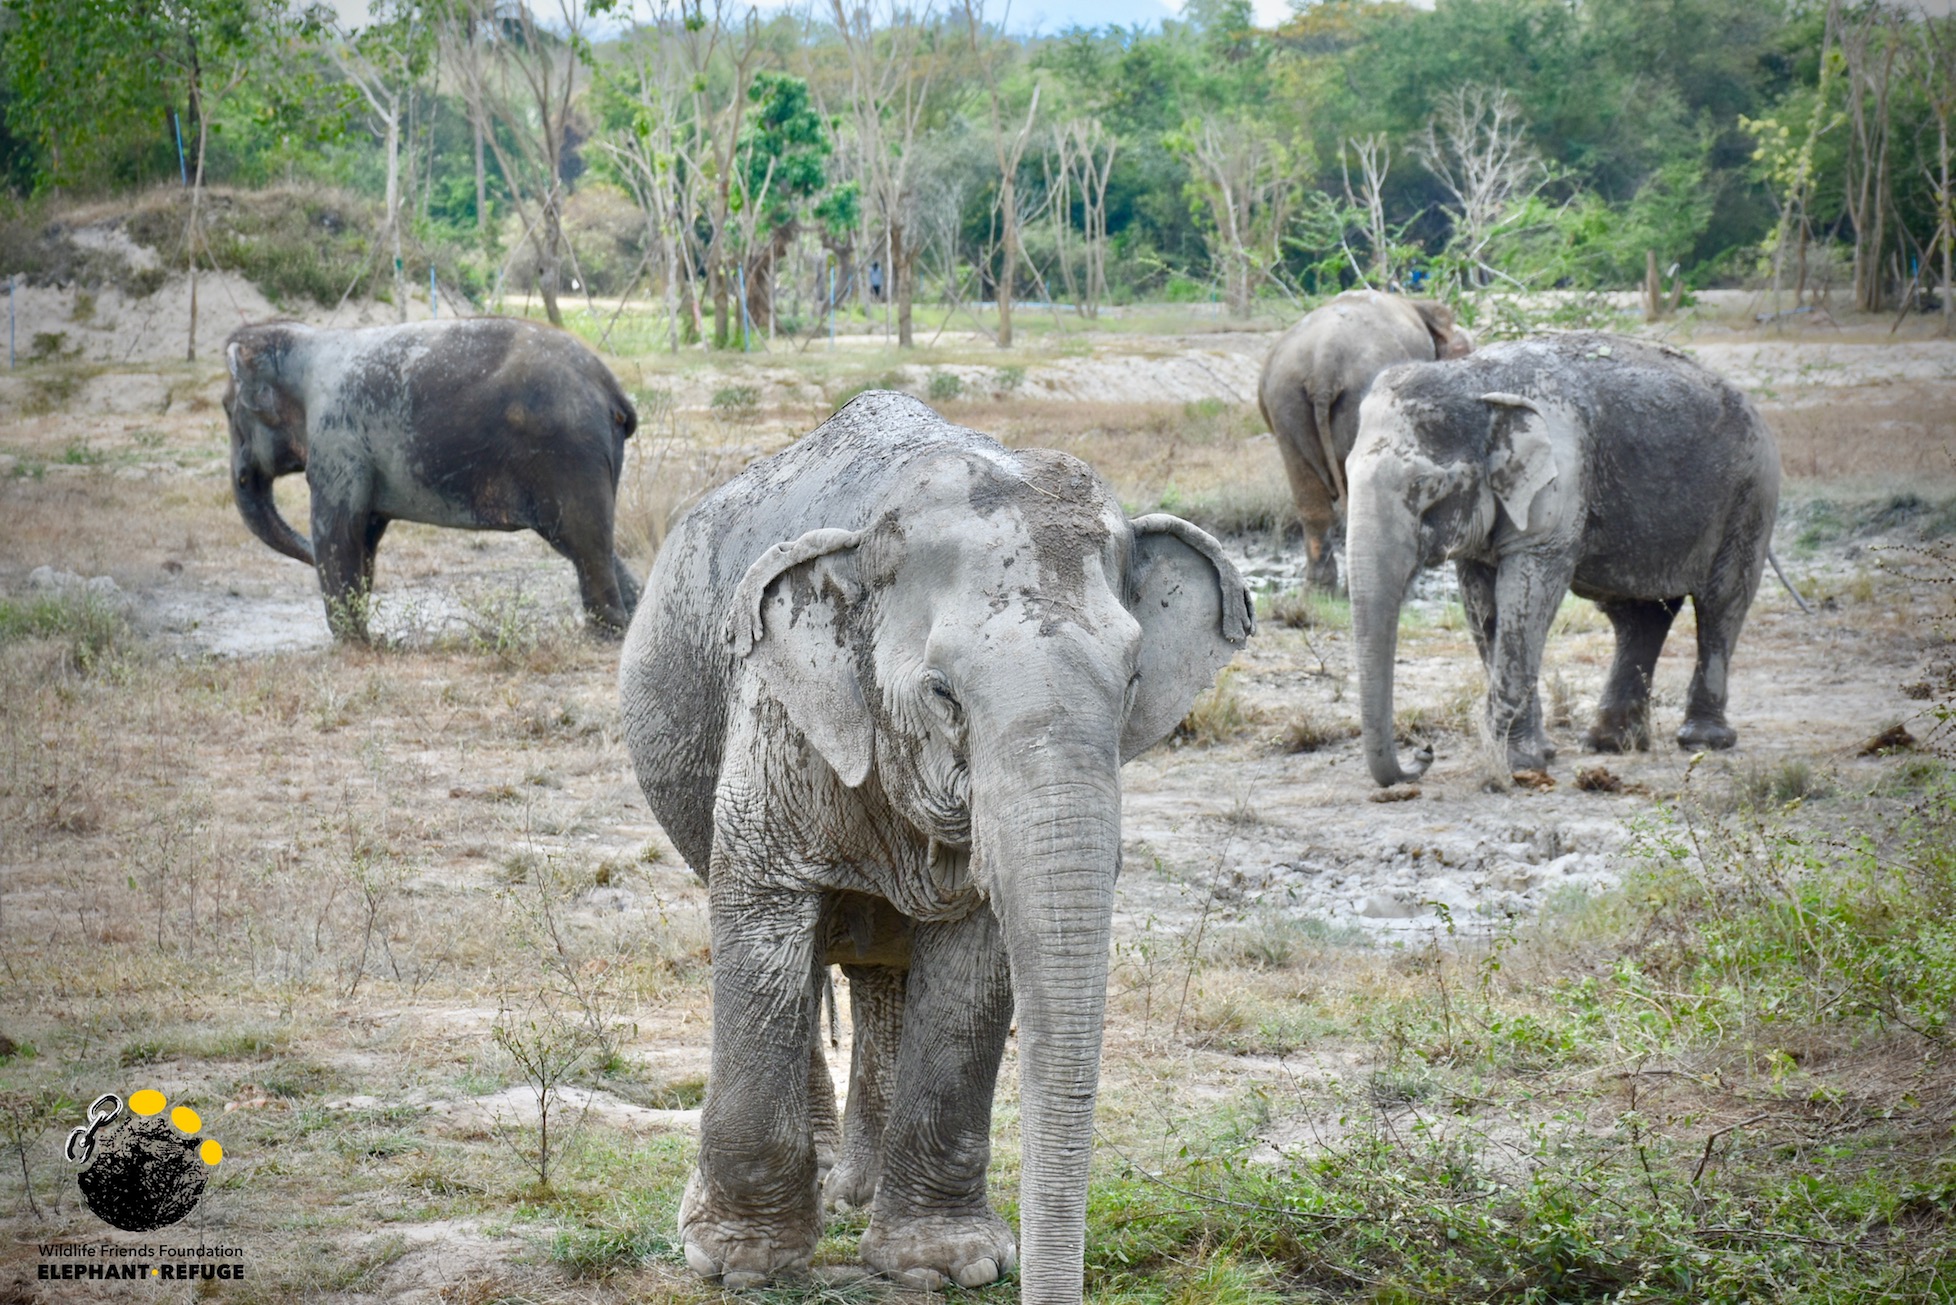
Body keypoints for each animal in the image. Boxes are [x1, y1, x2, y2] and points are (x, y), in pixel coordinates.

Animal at [223, 317, 640, 641]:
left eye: (228, 410)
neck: (305, 341)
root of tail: (611, 388)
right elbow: (365, 533)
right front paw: (364, 631)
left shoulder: (337, 439)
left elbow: (337, 529)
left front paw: (352, 643)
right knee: (586, 543)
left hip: (567, 453)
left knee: (582, 540)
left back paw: (604, 634)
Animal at [618, 391, 1252, 1301]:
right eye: (943, 692)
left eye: (1133, 679)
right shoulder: (777, 708)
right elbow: (762, 914)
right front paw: (734, 1260)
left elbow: (974, 966)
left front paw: (946, 1264)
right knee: (805, 962)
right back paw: (825, 1189)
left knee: (883, 971)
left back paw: (858, 1190)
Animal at [1345, 333, 1785, 788]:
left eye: (1427, 487)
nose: (1424, 752)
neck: (1473, 378)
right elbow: (1484, 607)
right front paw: (1538, 754)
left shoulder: (1562, 481)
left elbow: (1526, 595)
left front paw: (1519, 765)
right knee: (1637, 615)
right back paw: (1609, 743)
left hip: (1752, 494)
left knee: (1721, 601)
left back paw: (1702, 742)